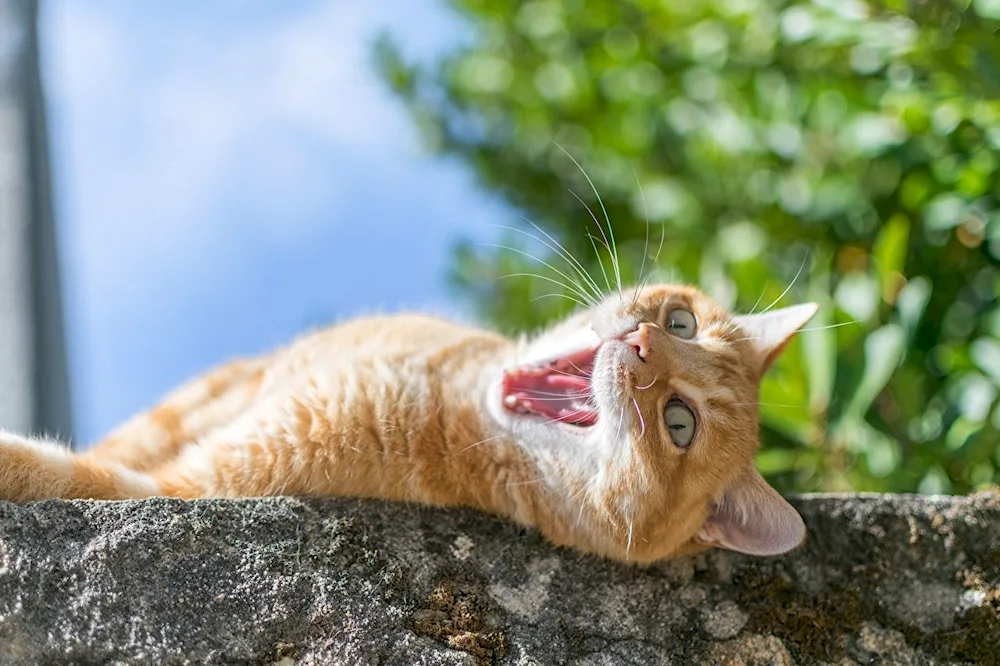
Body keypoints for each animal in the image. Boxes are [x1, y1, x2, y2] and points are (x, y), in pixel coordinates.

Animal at [0, 284, 816, 560]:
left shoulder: (186, 487)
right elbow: (135, 433)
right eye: (681, 322)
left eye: (679, 425)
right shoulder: (224, 388)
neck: (446, 387)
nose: (644, 341)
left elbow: (56, 471)